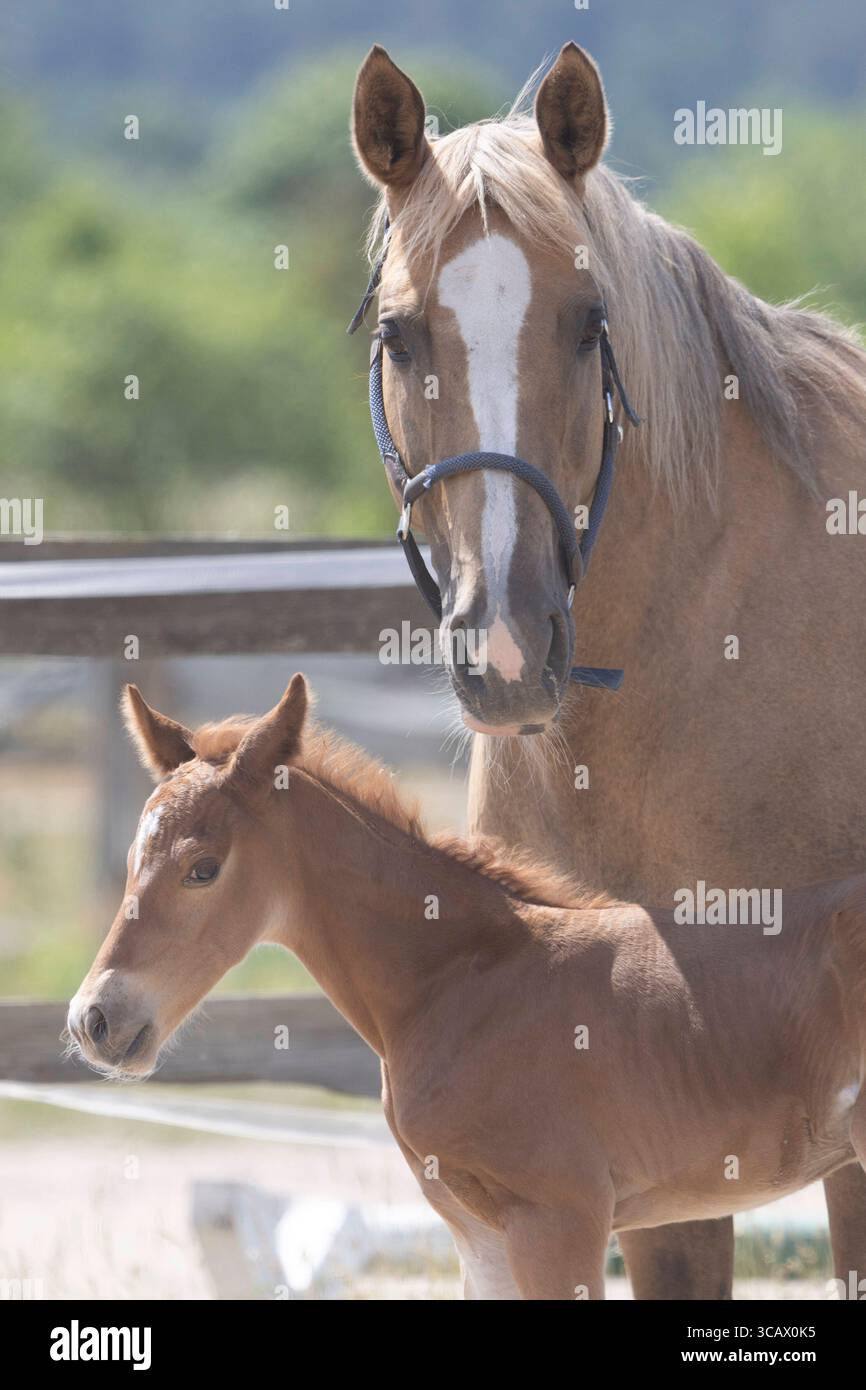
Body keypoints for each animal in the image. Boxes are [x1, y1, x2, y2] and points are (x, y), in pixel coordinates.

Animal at [66, 676, 866, 1299]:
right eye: (132, 859)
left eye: (203, 869)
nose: (93, 1020)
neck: (462, 979)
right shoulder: (479, 1233)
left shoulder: (558, 1218)